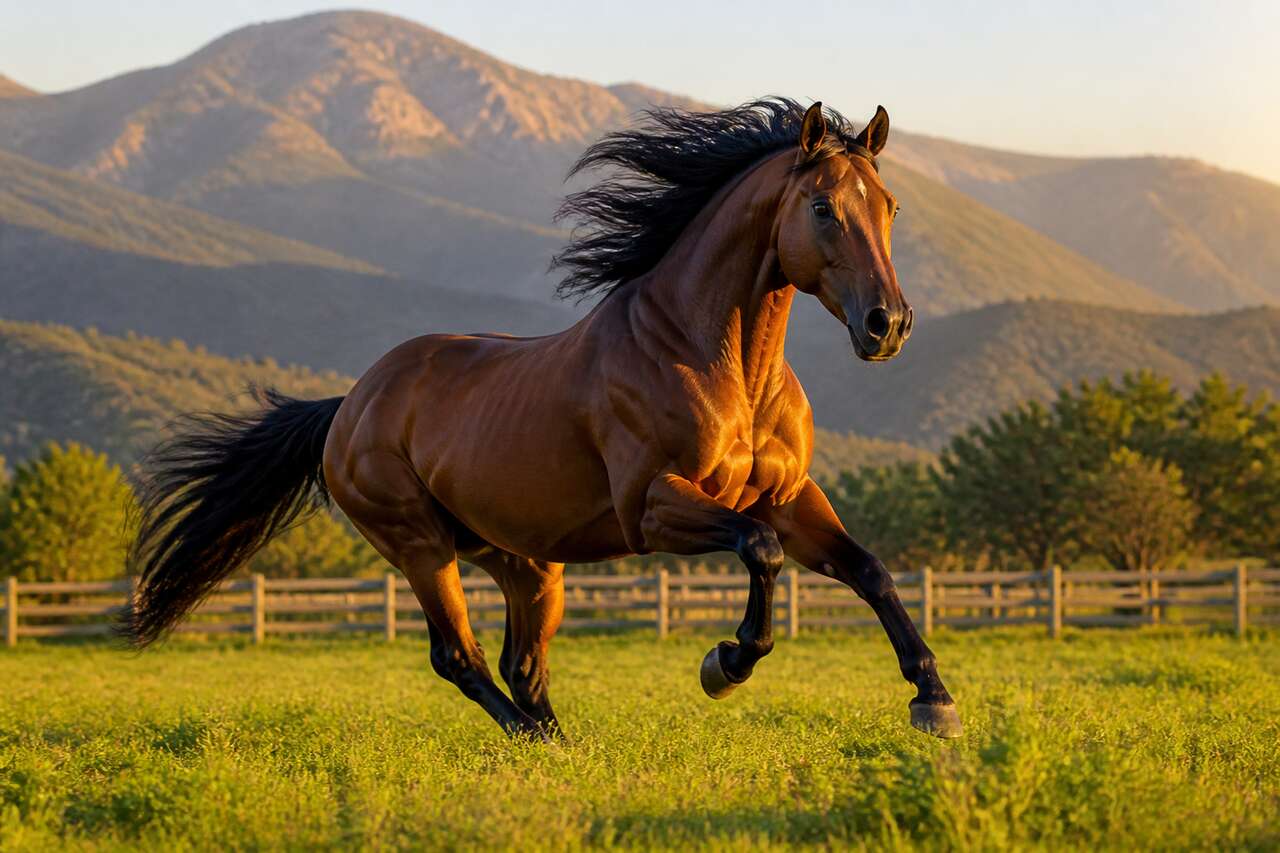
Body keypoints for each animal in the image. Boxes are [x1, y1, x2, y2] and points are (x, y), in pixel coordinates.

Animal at [124, 98, 961, 742]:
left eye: (888, 206)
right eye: (822, 208)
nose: (888, 324)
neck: (717, 363)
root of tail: (347, 406)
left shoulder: (788, 497)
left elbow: (867, 569)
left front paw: (935, 699)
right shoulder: (655, 507)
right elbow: (761, 551)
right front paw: (723, 664)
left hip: (524, 560)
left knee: (520, 665)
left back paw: (556, 741)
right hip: (419, 545)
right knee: (458, 657)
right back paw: (533, 738)